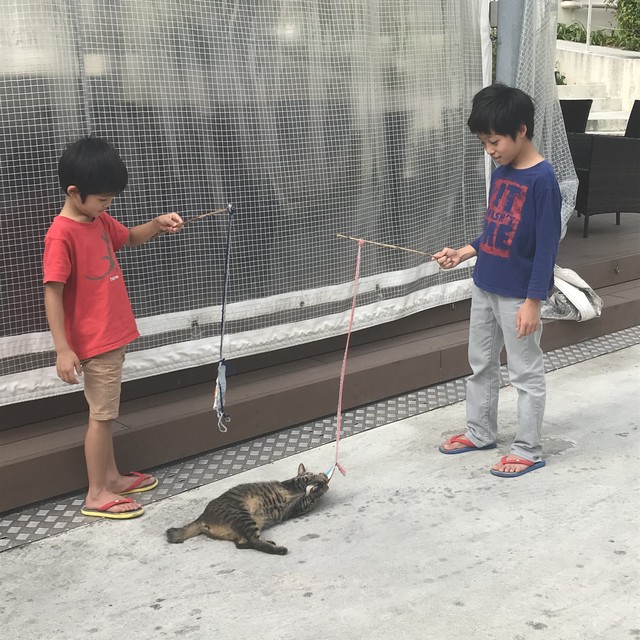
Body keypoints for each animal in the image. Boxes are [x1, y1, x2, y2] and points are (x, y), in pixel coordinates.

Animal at [165, 464, 330, 556]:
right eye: (308, 472)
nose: (319, 478)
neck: (299, 492)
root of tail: (202, 516)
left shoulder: (297, 508)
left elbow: (310, 498)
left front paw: (322, 487)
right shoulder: (293, 485)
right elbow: (305, 481)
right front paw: (321, 479)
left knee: (242, 544)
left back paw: (269, 542)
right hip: (242, 516)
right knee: (255, 542)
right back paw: (279, 550)